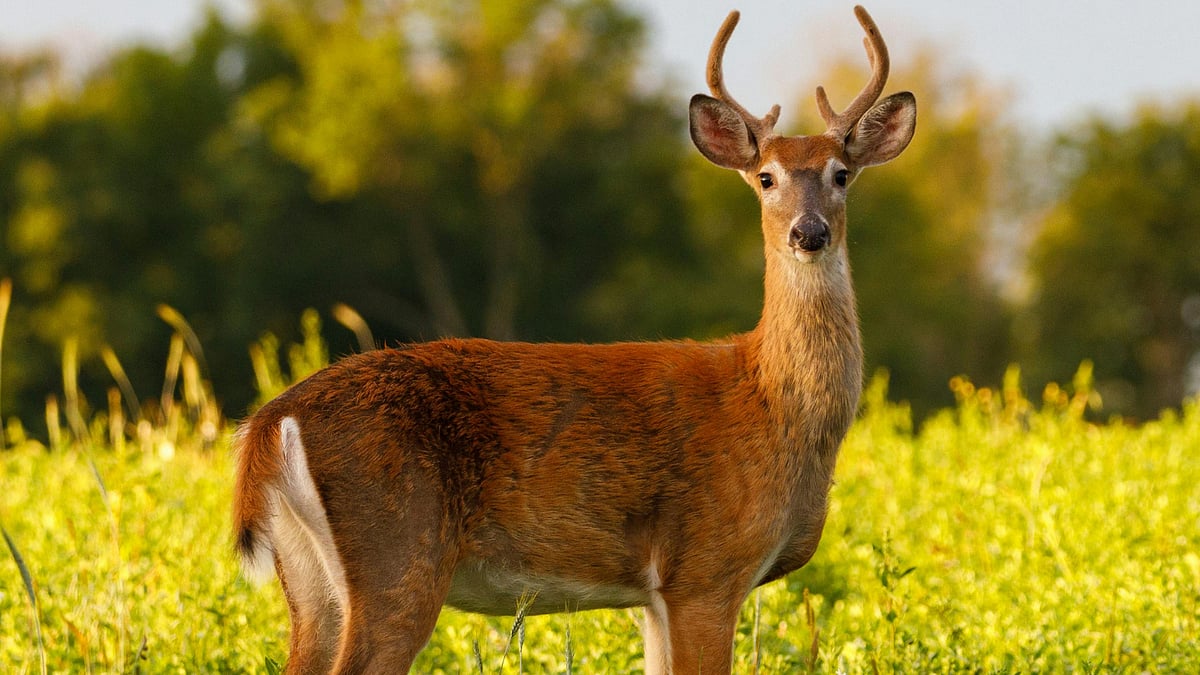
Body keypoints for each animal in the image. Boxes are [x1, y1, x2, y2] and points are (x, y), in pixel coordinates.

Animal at [232, 5, 915, 673]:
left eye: (841, 174)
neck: (773, 403)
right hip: (398, 549)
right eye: (767, 178)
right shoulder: (706, 569)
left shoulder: (658, 595)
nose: (809, 233)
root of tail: (271, 421)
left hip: (312, 577)